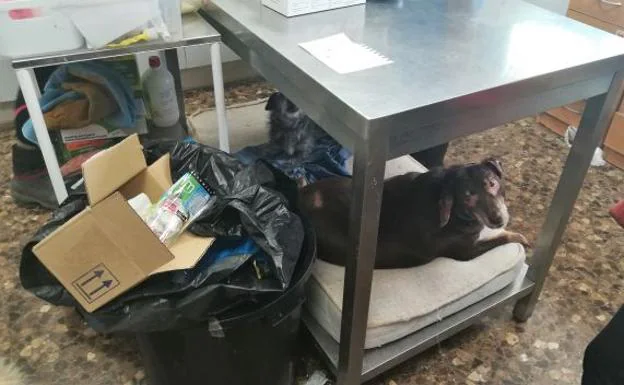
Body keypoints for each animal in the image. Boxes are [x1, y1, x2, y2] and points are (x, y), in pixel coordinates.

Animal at [298, 158, 528, 268]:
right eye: (467, 197)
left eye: (492, 183)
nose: (497, 219)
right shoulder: (466, 253)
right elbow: (501, 238)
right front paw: (519, 237)